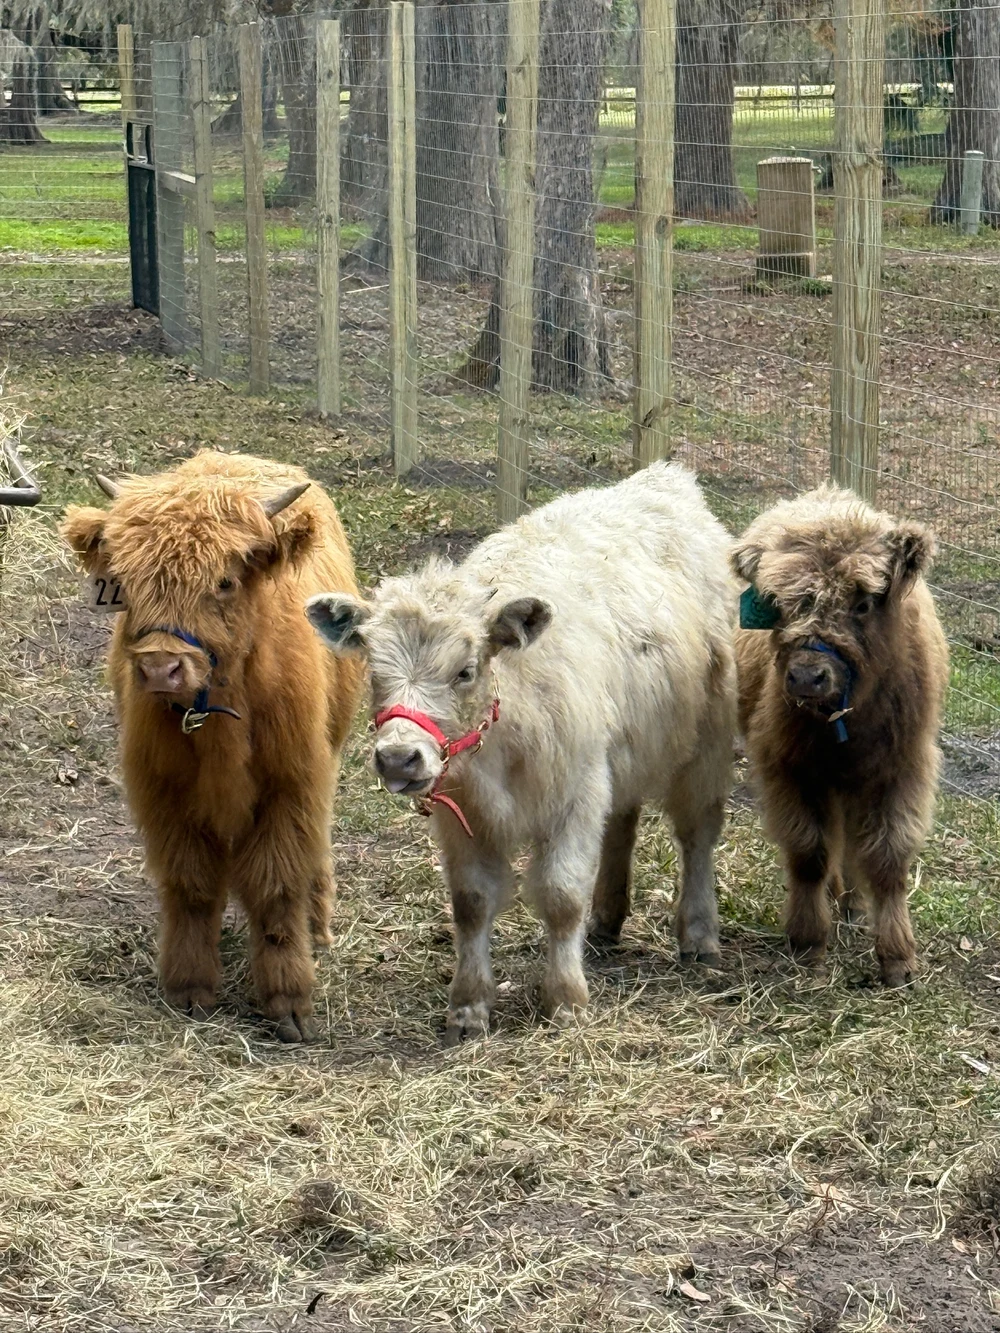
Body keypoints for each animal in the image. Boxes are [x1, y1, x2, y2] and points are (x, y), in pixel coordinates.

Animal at [61, 451, 364, 1042]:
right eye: (125, 583)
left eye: (224, 581)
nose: (160, 667)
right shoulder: (164, 794)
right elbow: (192, 886)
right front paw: (190, 988)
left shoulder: (291, 784)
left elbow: (277, 886)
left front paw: (288, 1001)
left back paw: (318, 927)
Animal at [306, 463, 737, 1043]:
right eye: (374, 670)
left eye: (465, 670)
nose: (398, 759)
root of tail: (665, 477)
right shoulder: (463, 815)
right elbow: (471, 902)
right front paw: (468, 1006)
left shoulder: (575, 795)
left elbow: (561, 895)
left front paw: (567, 999)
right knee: (623, 820)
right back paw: (607, 918)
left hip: (705, 746)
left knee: (697, 835)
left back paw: (698, 933)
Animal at [731, 485, 949, 986]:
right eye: (780, 605)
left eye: (863, 603)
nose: (807, 677)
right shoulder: (789, 768)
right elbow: (809, 854)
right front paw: (808, 942)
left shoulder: (903, 769)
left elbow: (888, 861)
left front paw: (897, 957)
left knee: (852, 843)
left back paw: (852, 903)